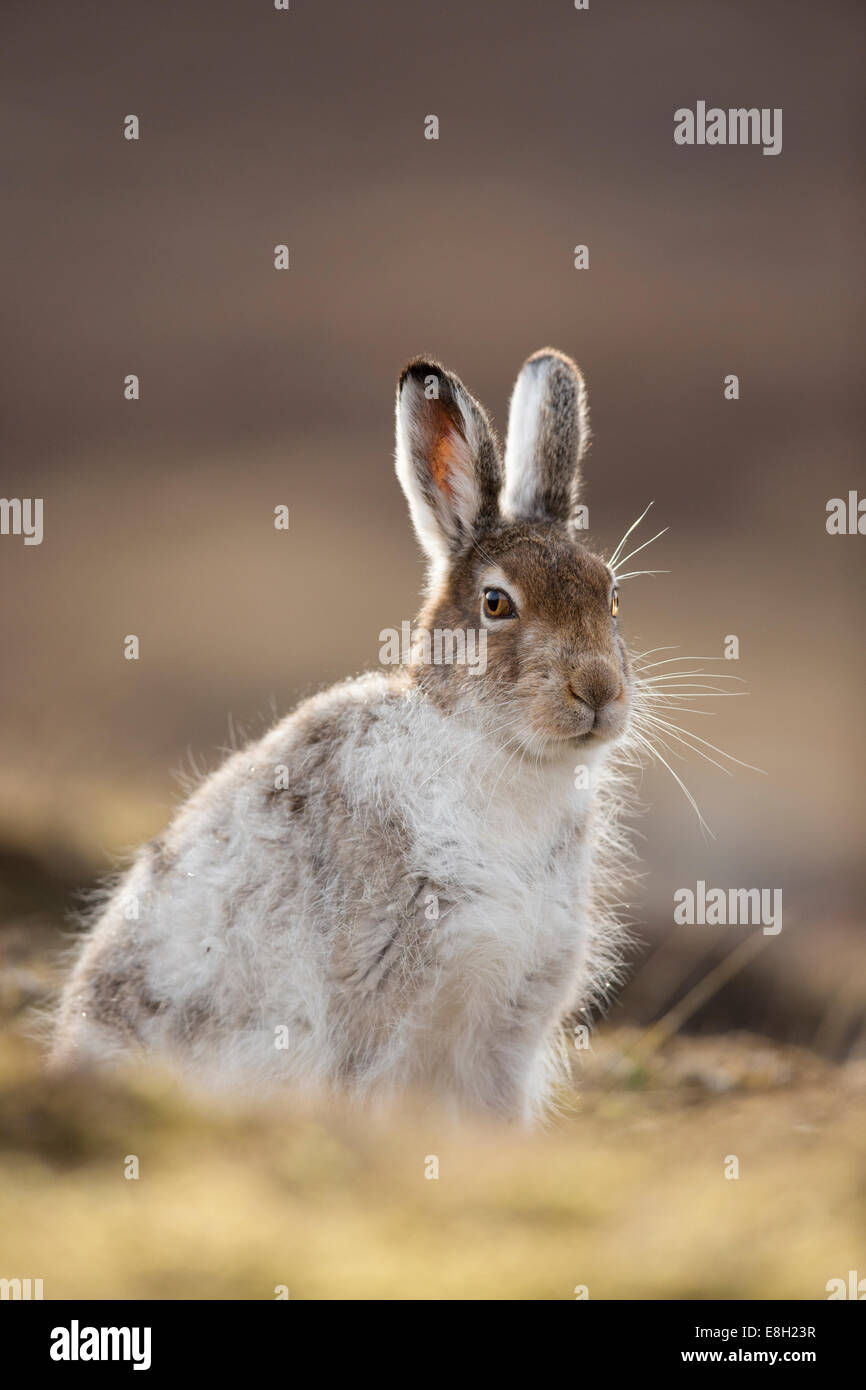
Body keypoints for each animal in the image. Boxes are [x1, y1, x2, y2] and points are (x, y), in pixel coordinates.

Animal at [51, 348, 637, 1123]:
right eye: (496, 603)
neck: (493, 751)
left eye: (612, 595)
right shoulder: (377, 996)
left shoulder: (511, 1024)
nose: (598, 691)